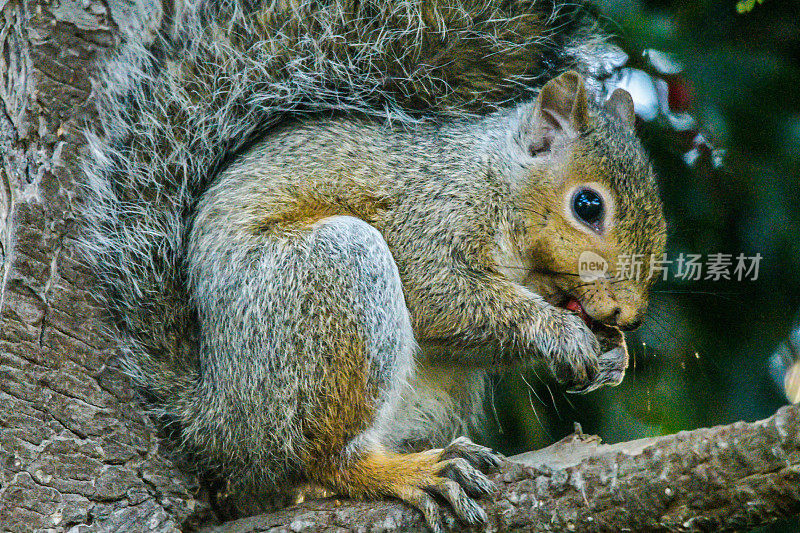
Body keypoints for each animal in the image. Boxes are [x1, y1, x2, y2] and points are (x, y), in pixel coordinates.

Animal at [81, 2, 668, 528]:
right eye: (587, 205)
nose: (631, 314)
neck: (495, 181)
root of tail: (218, 419)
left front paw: (613, 354)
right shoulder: (430, 216)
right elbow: (441, 299)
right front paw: (564, 334)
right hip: (331, 282)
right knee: (325, 460)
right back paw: (407, 472)